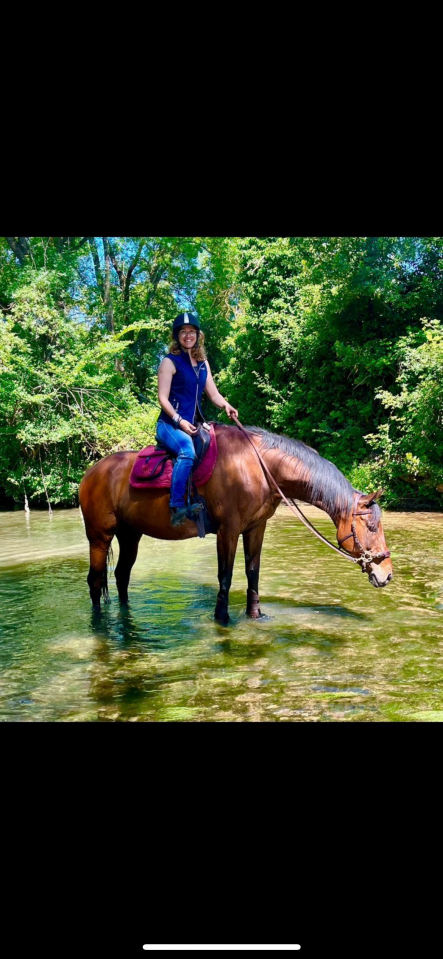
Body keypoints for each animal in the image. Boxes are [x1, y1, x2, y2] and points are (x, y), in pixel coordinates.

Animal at [79, 423, 393, 623]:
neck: (259, 468)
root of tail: (91, 473)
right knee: (95, 580)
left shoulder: (255, 528)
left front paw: (255, 614)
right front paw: (222, 618)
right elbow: (226, 576)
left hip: (130, 535)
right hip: (99, 536)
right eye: (372, 527)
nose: (387, 574)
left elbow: (252, 572)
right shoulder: (227, 531)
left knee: (121, 575)